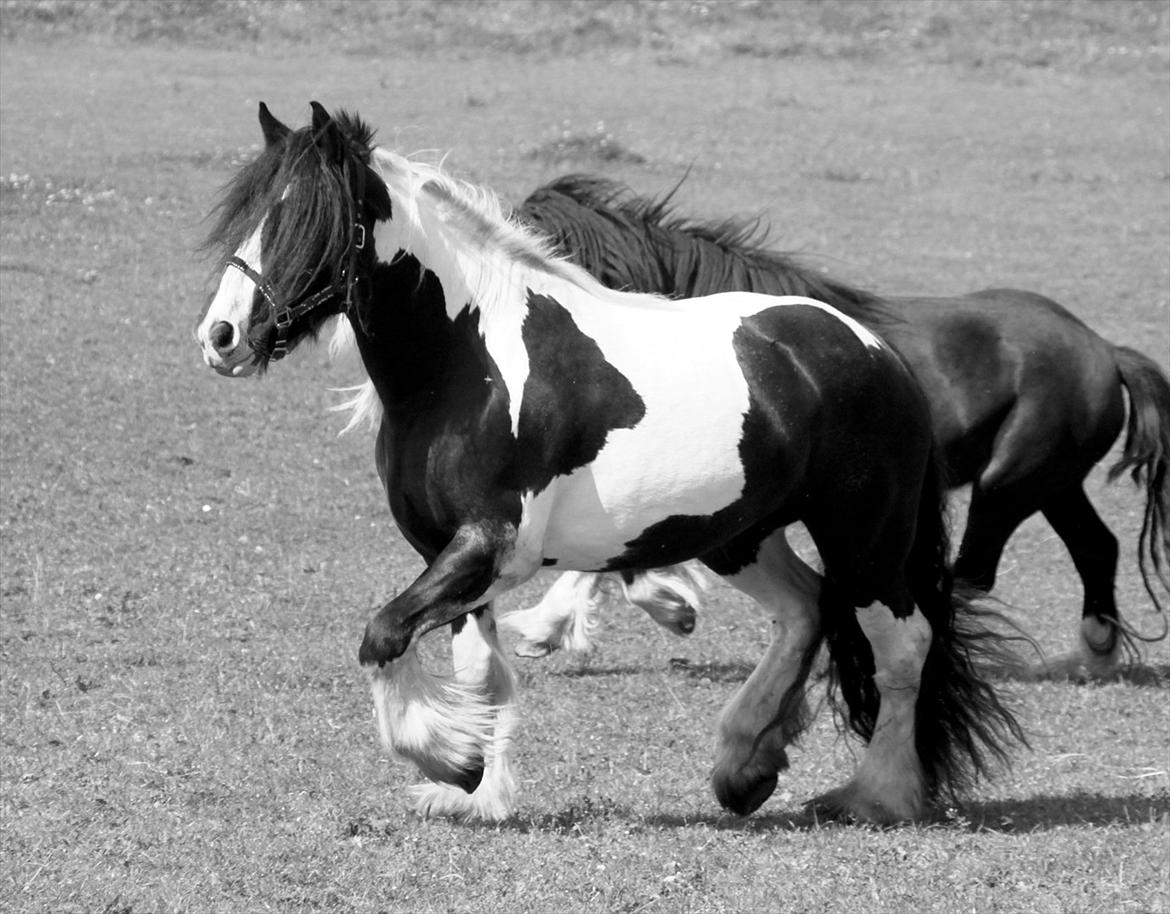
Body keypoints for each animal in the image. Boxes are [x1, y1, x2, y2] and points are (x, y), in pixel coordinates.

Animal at [196, 103, 1020, 823]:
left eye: (310, 218)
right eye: (250, 211)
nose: (222, 336)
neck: (463, 364)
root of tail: (873, 347)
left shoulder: (490, 547)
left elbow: (384, 634)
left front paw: (446, 760)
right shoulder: (449, 554)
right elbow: (480, 673)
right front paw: (478, 790)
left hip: (865, 540)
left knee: (902, 648)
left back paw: (876, 795)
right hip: (738, 535)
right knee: (805, 610)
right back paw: (745, 763)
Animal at [505, 174, 1170, 674]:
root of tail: (1106, 350)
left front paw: (569, 623)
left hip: (1006, 486)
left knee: (975, 572)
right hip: (1052, 484)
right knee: (1096, 546)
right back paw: (1090, 657)